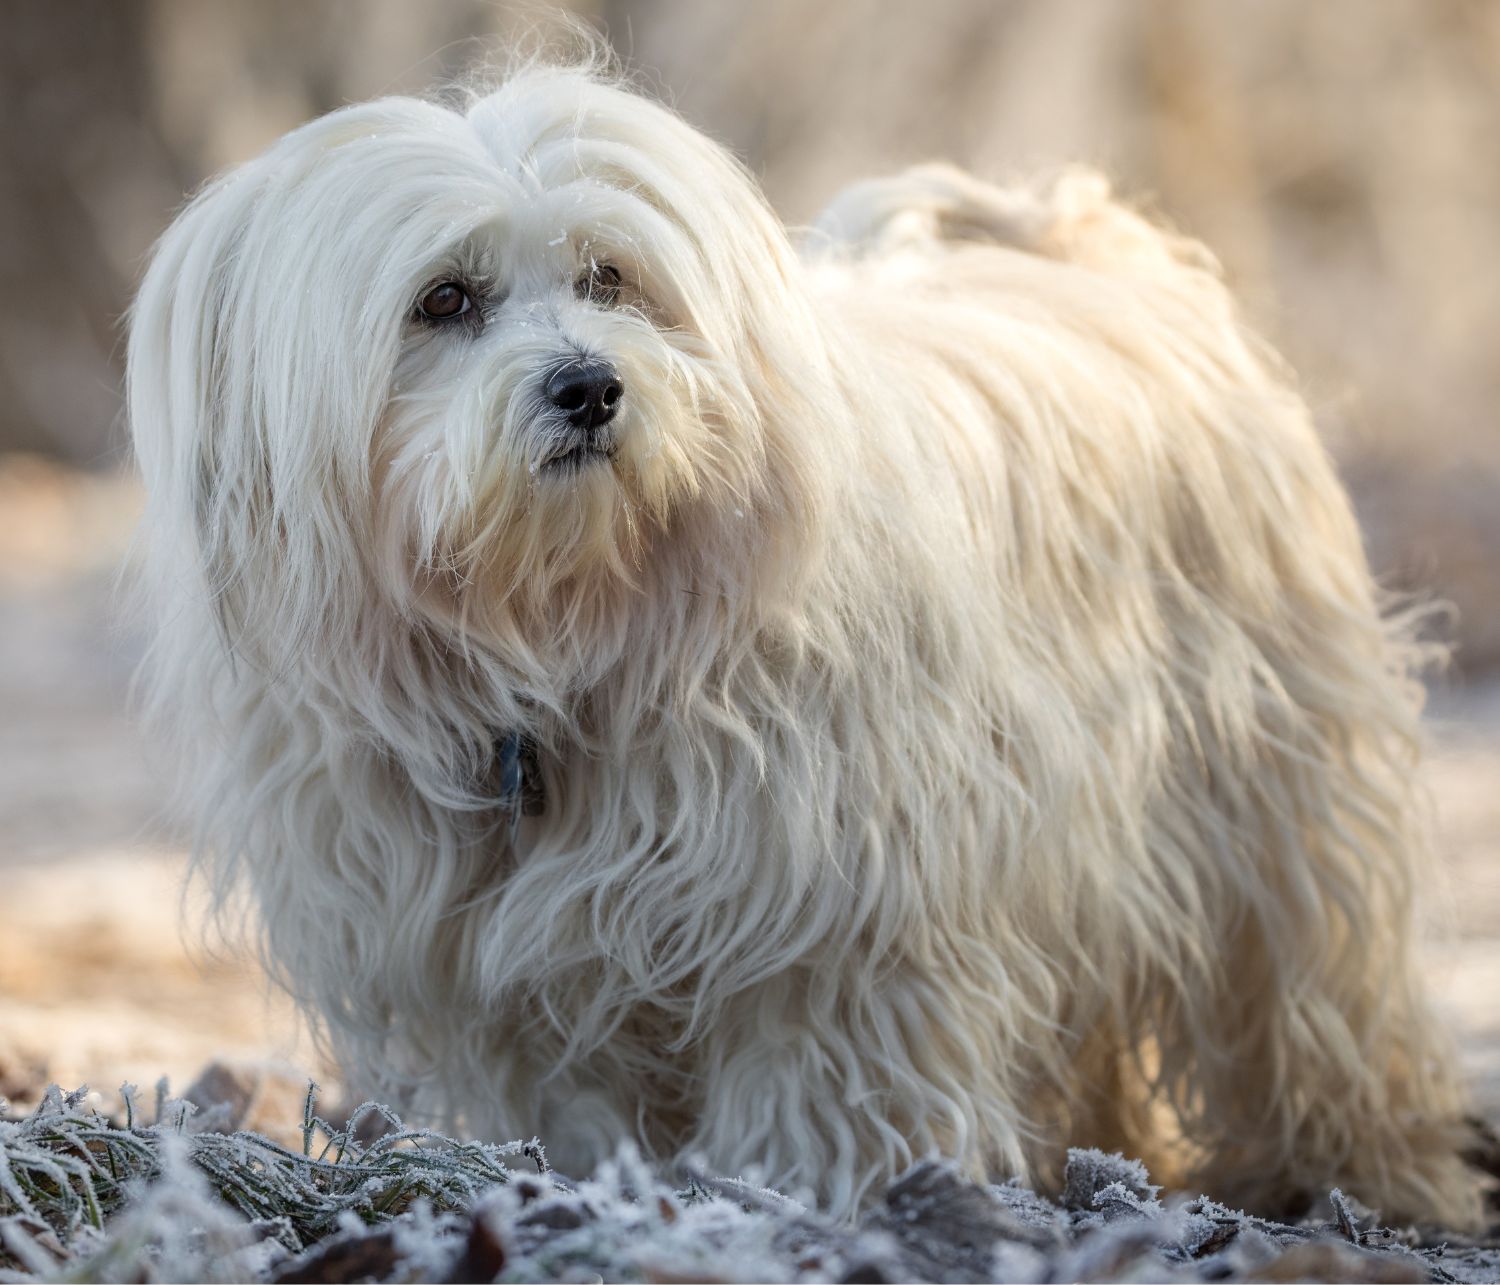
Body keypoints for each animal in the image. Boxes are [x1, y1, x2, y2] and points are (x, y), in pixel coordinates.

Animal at [132, 57, 1488, 1223]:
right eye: (444, 300)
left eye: (611, 279)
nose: (589, 386)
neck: (570, 634)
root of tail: (1087, 250)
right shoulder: (504, 958)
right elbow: (576, 1092)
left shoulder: (836, 908)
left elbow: (819, 1077)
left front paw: (802, 1198)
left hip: (1272, 801)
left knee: (1316, 999)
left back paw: (1368, 1175)